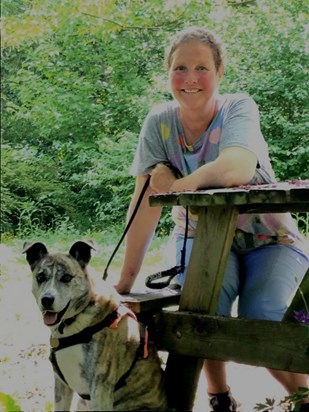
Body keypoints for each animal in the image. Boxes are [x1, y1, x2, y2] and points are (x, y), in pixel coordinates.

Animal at [23, 240, 168, 410]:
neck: (72, 325)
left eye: (66, 277)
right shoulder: (61, 385)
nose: (46, 300)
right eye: (40, 277)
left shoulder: (100, 388)